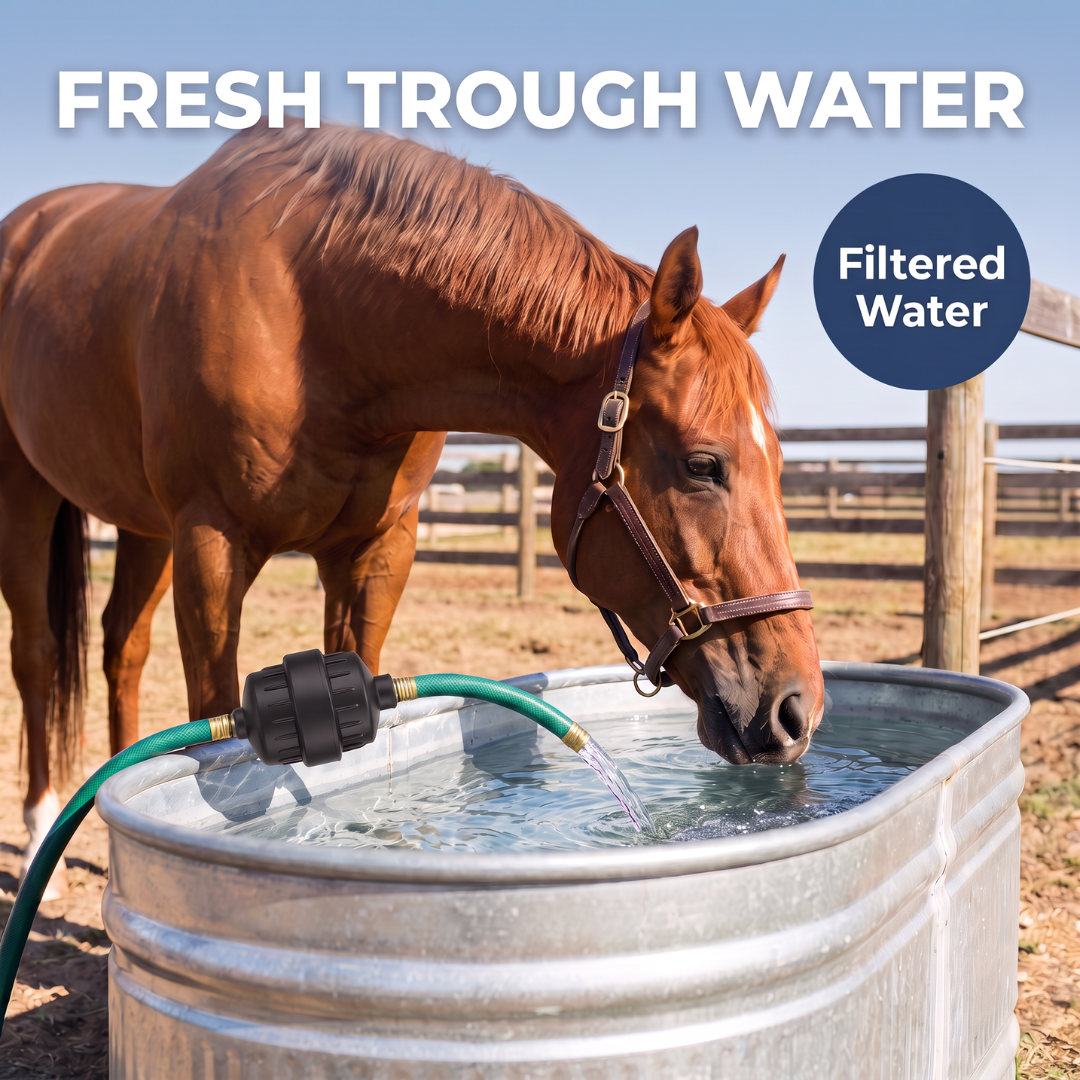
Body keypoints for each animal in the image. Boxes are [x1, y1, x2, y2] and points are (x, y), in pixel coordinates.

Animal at [0, 119, 823, 898]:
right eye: (703, 465)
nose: (798, 709)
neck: (318, 316)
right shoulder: (211, 542)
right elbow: (215, 732)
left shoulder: (378, 549)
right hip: (34, 499)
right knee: (37, 654)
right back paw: (43, 832)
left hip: (144, 527)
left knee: (121, 647)